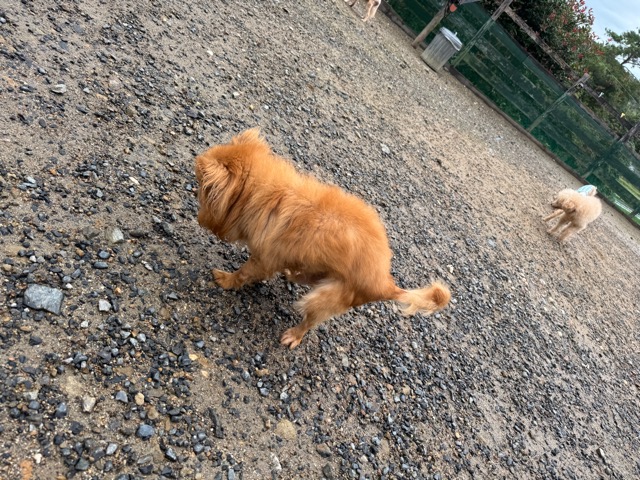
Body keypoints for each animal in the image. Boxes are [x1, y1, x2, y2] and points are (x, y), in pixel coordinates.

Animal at [195, 128, 450, 349]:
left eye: (201, 189)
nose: (198, 218)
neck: (268, 194)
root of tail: (385, 283)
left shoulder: (263, 260)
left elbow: (242, 274)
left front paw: (225, 280)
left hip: (323, 298)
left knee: (309, 321)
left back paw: (294, 335)